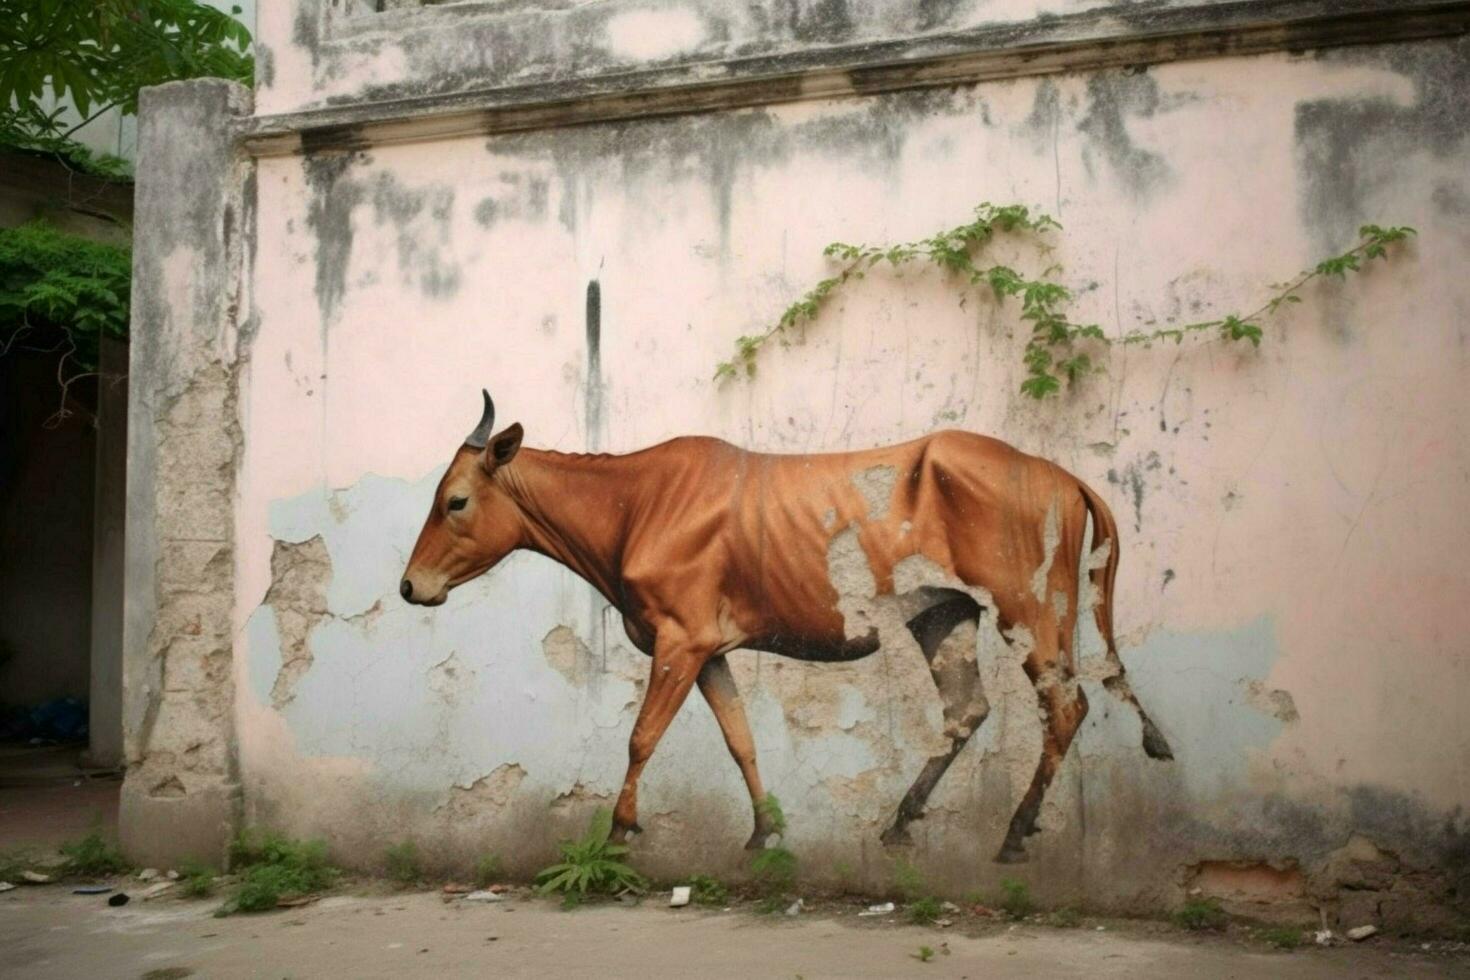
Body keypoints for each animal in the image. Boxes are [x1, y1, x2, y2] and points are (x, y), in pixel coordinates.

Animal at [402, 387, 1170, 858]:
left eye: (457, 500)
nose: (411, 586)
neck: (633, 506)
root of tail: (1060, 474)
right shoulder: (710, 650)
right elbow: (740, 739)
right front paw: (764, 831)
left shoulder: (679, 640)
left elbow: (641, 737)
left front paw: (619, 831)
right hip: (944, 616)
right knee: (967, 711)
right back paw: (900, 821)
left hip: (1030, 612)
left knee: (1064, 706)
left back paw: (1013, 833)